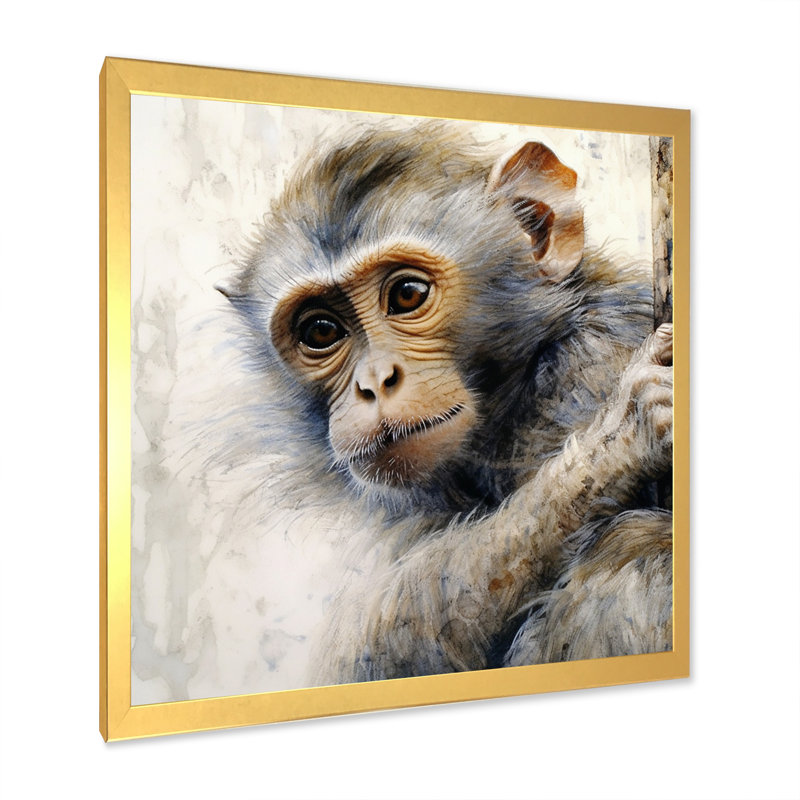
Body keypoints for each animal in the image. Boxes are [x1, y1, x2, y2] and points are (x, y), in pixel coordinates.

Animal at [215, 122, 673, 685]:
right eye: (321, 330)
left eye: (408, 295)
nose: (375, 382)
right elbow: (367, 646)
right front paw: (614, 446)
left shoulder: (589, 368)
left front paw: (618, 440)